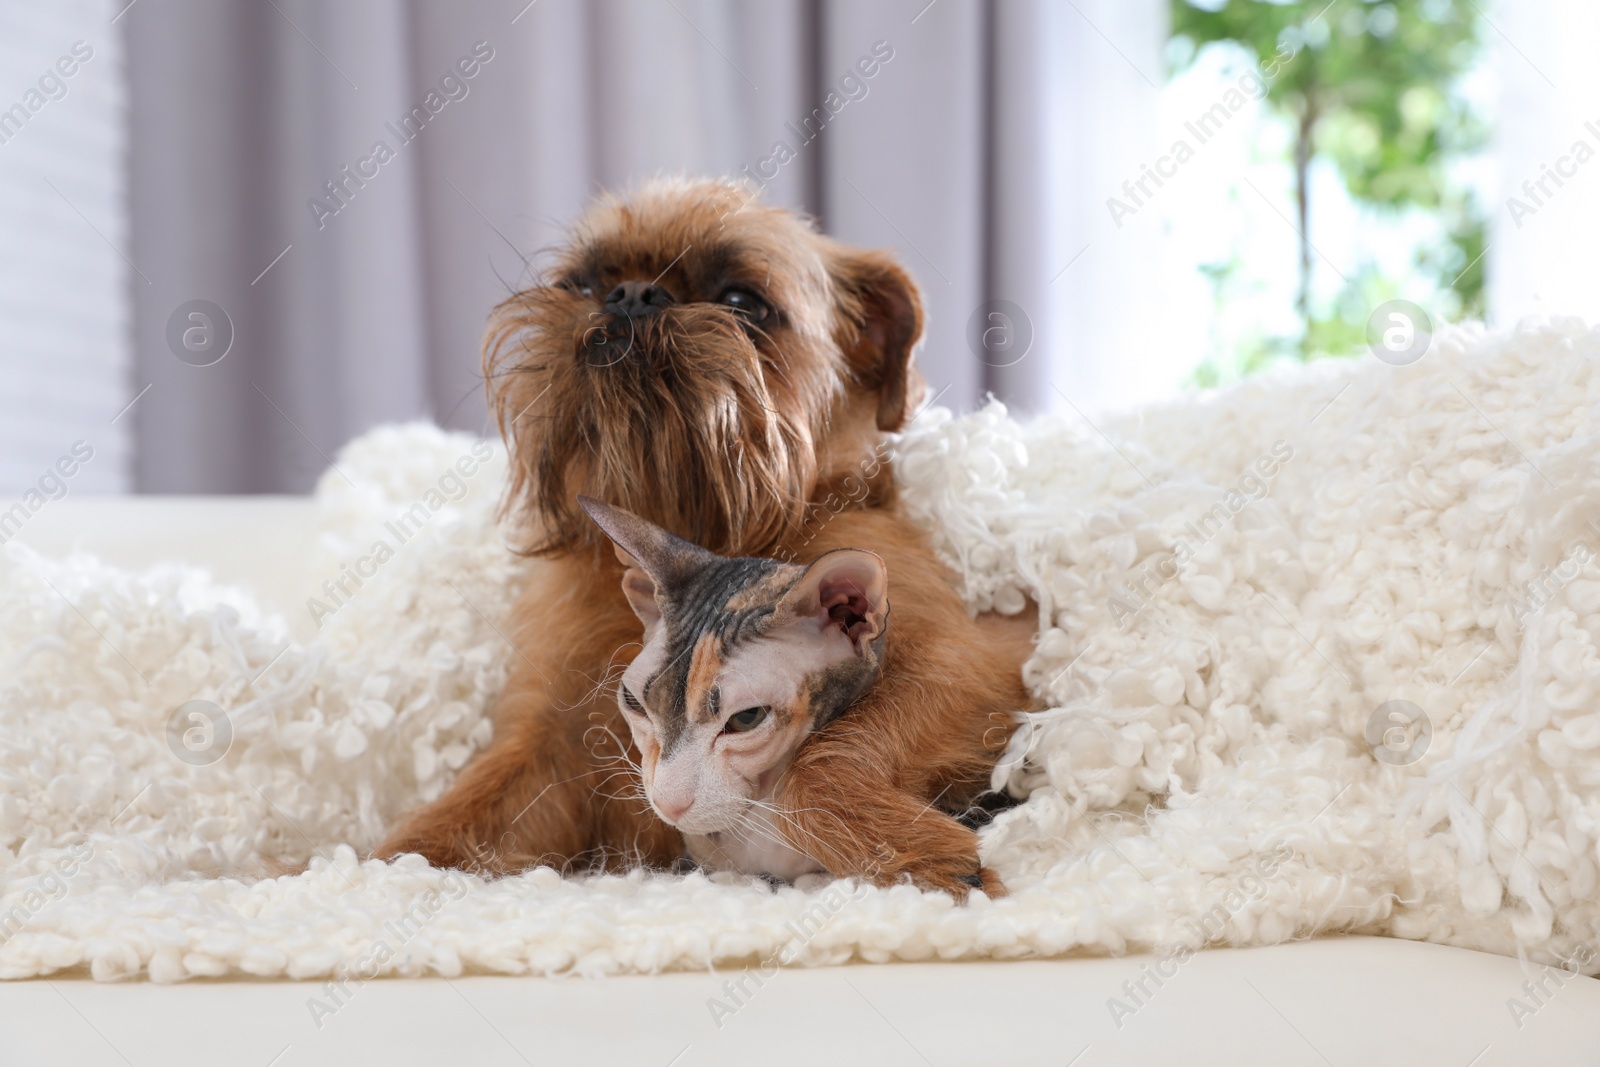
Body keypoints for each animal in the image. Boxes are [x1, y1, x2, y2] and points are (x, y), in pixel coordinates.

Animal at [376, 179, 1030, 895]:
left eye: (742, 302)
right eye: (580, 283)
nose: (632, 293)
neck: (692, 526)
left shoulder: (969, 668)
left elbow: (819, 766)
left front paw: (920, 854)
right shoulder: (549, 741)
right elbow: (456, 821)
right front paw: (371, 876)